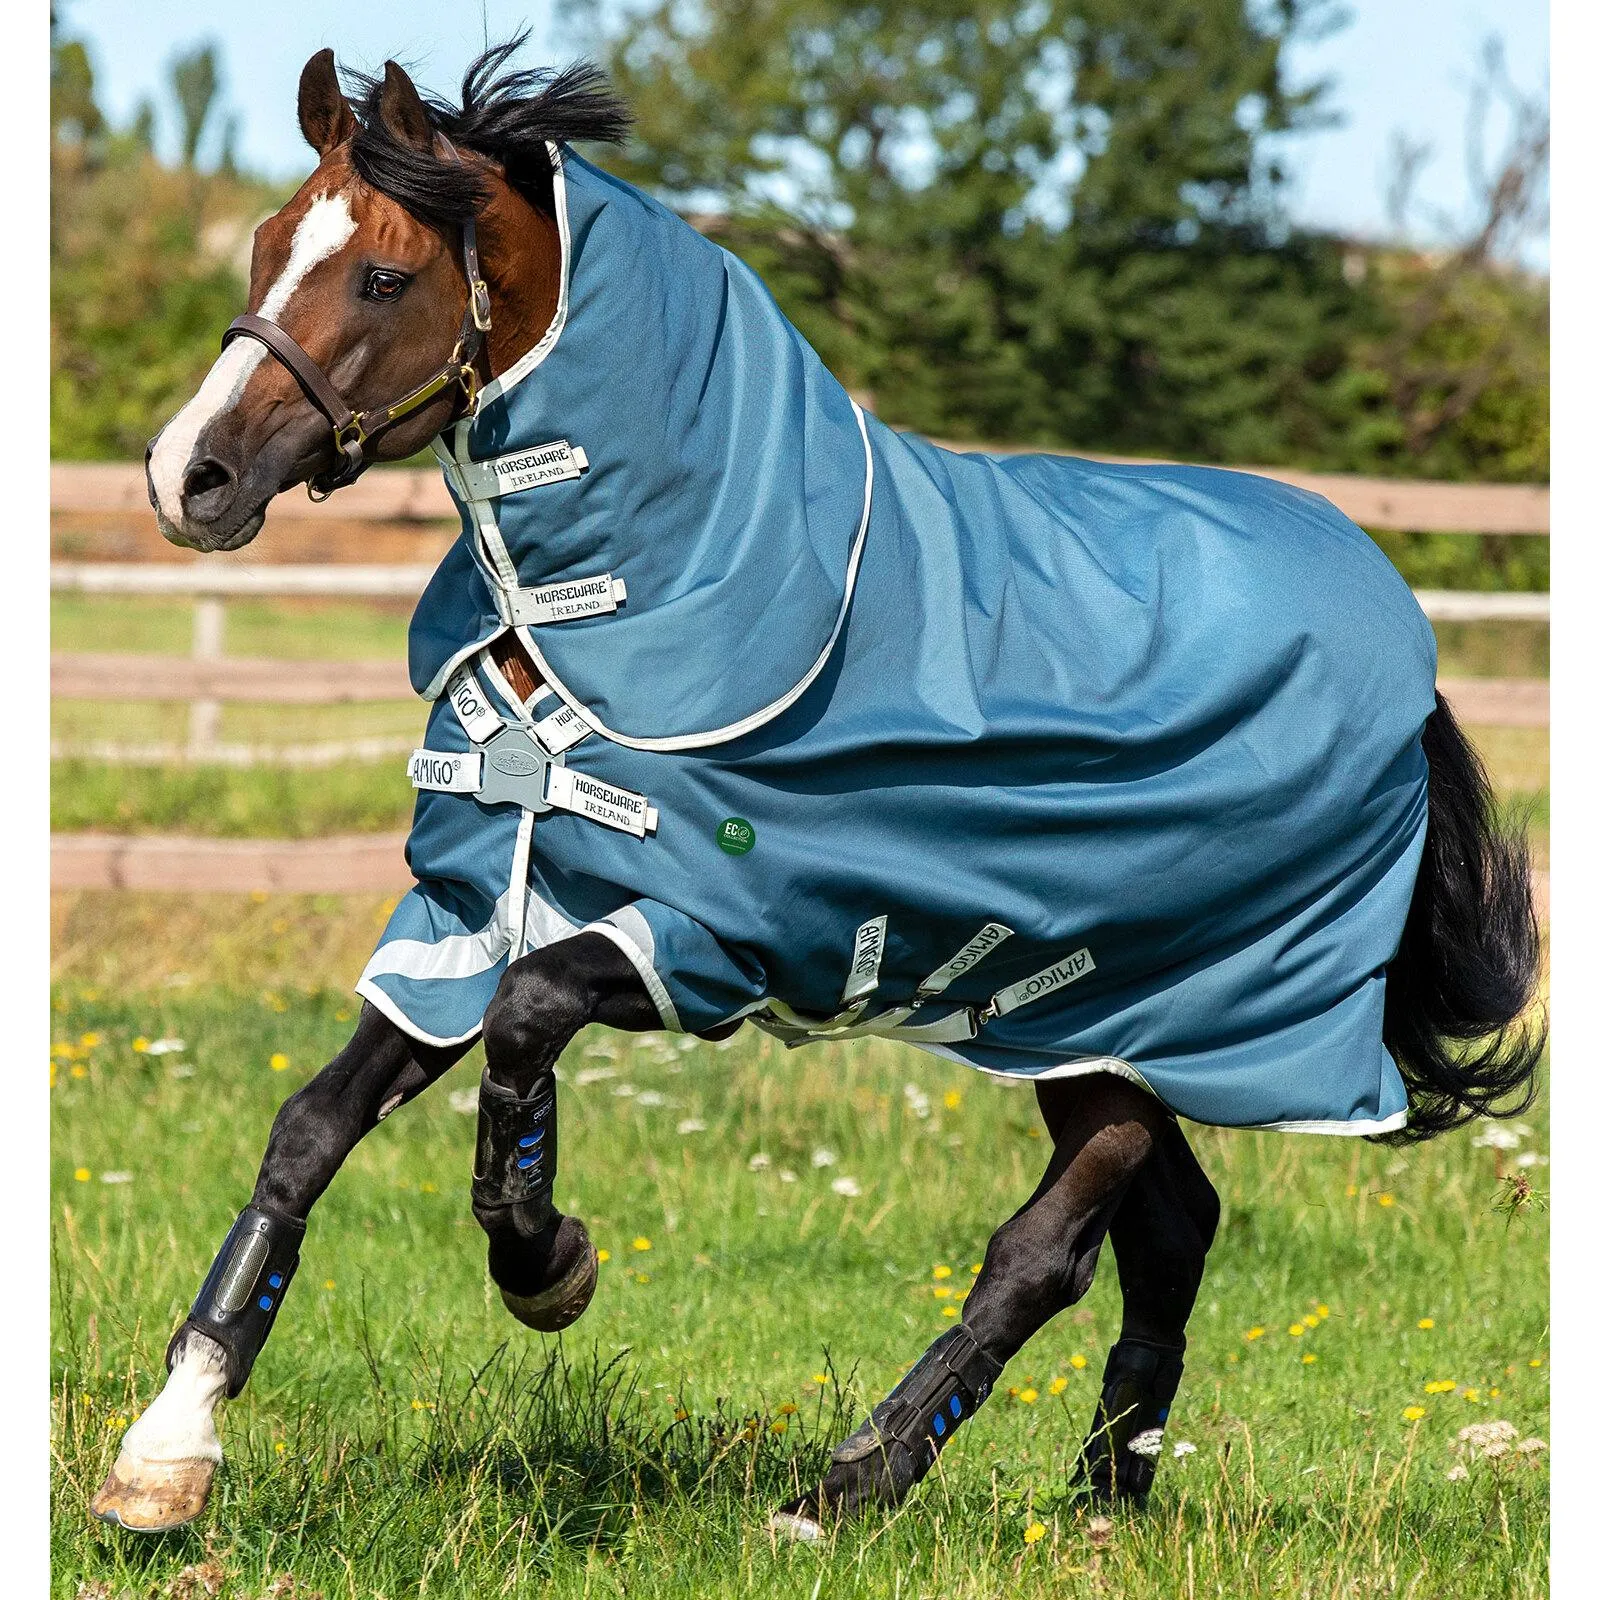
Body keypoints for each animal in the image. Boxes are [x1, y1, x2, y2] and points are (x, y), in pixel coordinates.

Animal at [93, 43, 1544, 1539]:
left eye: (383, 276)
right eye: (267, 244)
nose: (188, 474)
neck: (619, 613)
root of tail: (1406, 654)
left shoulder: (710, 938)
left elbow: (525, 1023)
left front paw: (547, 1262)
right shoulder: (470, 909)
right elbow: (311, 1129)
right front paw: (167, 1448)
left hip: (1158, 1017)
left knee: (1049, 1248)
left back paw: (851, 1482)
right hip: (1091, 1027)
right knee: (1169, 1229)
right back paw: (1102, 1492)